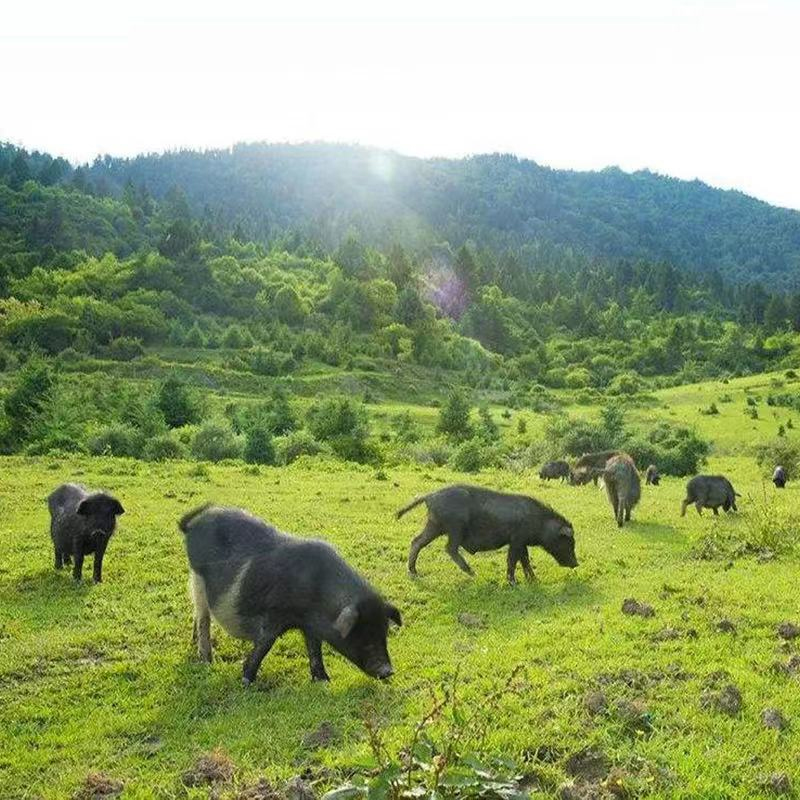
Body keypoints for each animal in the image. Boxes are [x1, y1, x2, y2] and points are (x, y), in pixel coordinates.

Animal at [180, 505, 402, 686]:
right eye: (362, 635)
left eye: (384, 633)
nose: (389, 671)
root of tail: (192, 525)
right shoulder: (273, 613)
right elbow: (265, 644)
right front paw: (246, 681)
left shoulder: (310, 624)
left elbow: (315, 649)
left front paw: (324, 681)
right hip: (198, 577)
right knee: (203, 617)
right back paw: (206, 661)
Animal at [396, 484, 578, 583]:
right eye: (569, 542)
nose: (576, 564)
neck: (540, 522)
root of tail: (429, 496)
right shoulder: (517, 539)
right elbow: (512, 560)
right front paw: (513, 583)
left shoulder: (521, 542)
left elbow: (525, 560)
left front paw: (534, 581)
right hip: (455, 526)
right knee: (449, 548)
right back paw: (472, 573)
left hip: (435, 525)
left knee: (416, 541)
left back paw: (414, 572)